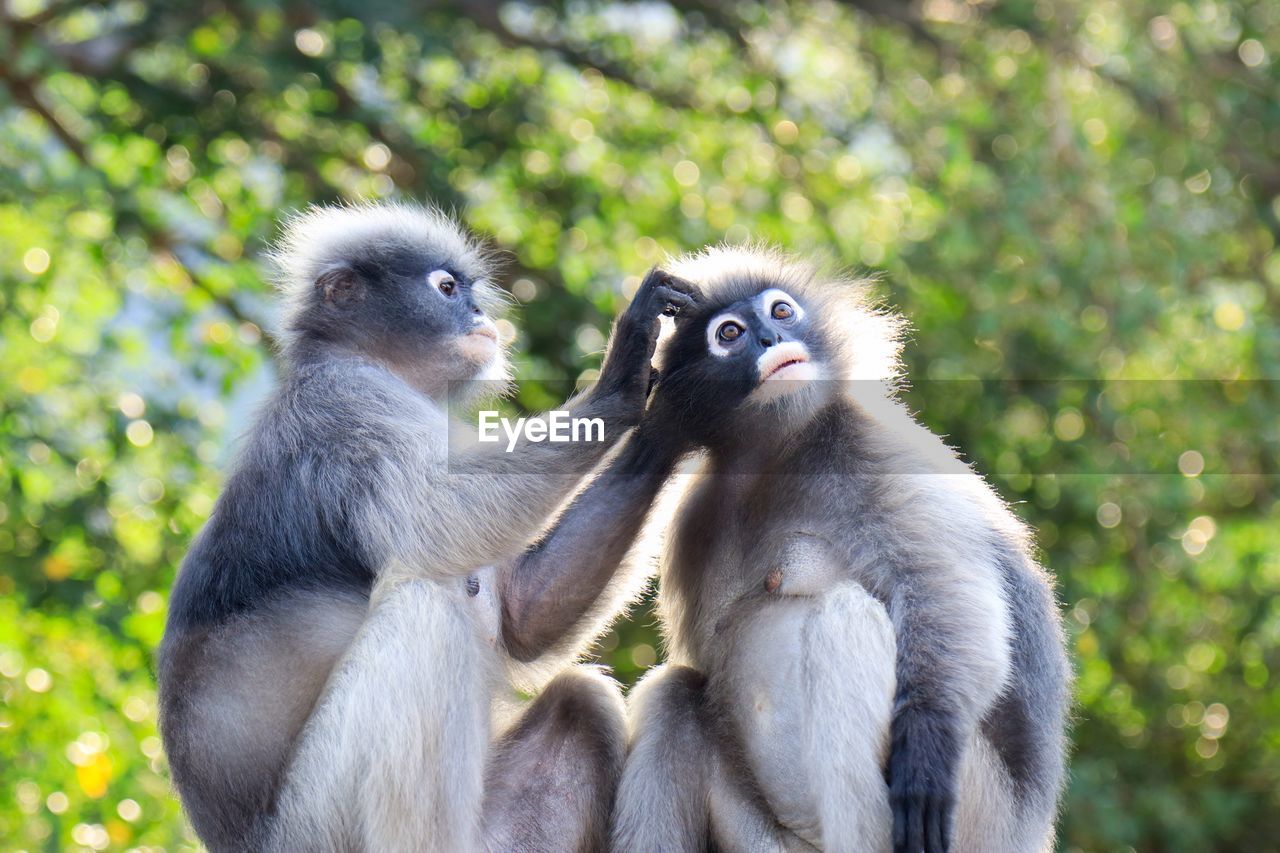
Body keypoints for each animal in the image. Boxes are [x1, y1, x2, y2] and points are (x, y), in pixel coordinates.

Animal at [160, 201, 701, 850]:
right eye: (446, 289)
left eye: (469, 291)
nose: (479, 314)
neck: (374, 365)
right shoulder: (347, 407)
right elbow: (442, 520)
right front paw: (624, 374)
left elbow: (523, 618)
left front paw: (674, 418)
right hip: (319, 824)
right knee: (429, 610)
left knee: (582, 695)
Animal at [609, 245, 1070, 850]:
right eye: (730, 333)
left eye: (781, 312)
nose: (769, 339)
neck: (782, 451)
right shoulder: (696, 514)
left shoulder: (877, 447)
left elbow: (949, 597)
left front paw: (926, 753)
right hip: (766, 839)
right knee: (674, 695)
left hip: (979, 816)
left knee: (844, 618)